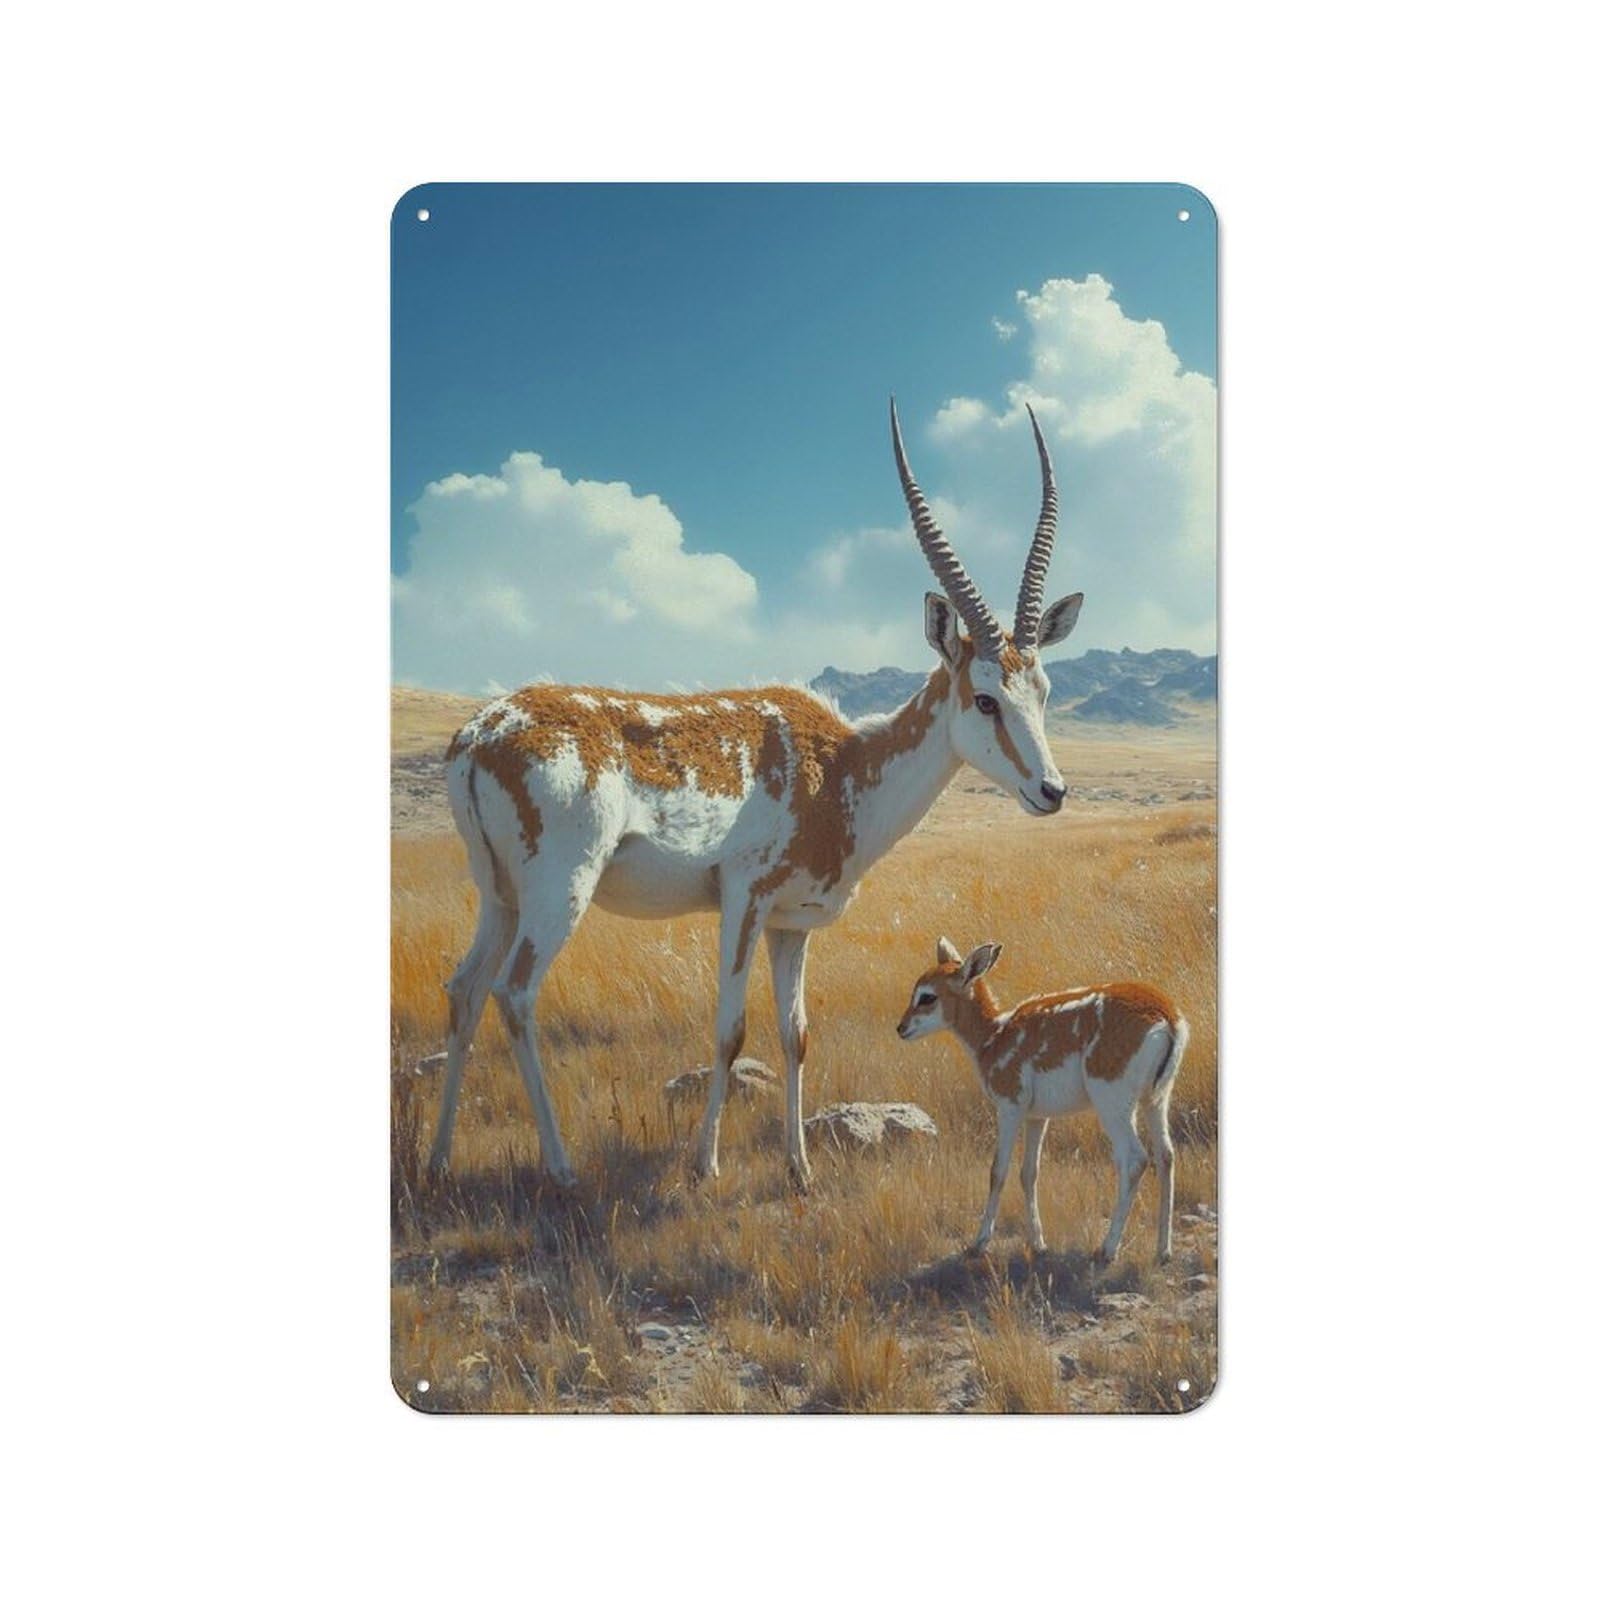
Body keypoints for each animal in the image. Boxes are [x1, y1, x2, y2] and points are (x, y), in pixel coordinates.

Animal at [429, 399, 1085, 1193]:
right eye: (985, 698)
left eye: (1042, 689)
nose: (1050, 790)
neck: (841, 766)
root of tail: (478, 734)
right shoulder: (742, 899)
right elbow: (729, 1029)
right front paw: (705, 1164)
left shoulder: (789, 924)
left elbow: (794, 1033)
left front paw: (800, 1169)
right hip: (562, 890)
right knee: (516, 994)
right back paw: (560, 1167)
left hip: (499, 894)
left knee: (465, 990)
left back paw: (438, 1159)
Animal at [895, 939, 1186, 1263]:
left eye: (927, 996)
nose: (901, 1027)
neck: (993, 1037)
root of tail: (1167, 1017)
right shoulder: (1037, 1117)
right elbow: (1029, 1173)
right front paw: (1038, 1244)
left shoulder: (1009, 1108)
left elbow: (997, 1171)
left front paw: (979, 1243)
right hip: (1155, 1100)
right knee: (1166, 1155)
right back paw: (1163, 1251)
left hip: (1113, 1104)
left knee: (1135, 1159)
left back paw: (1106, 1249)